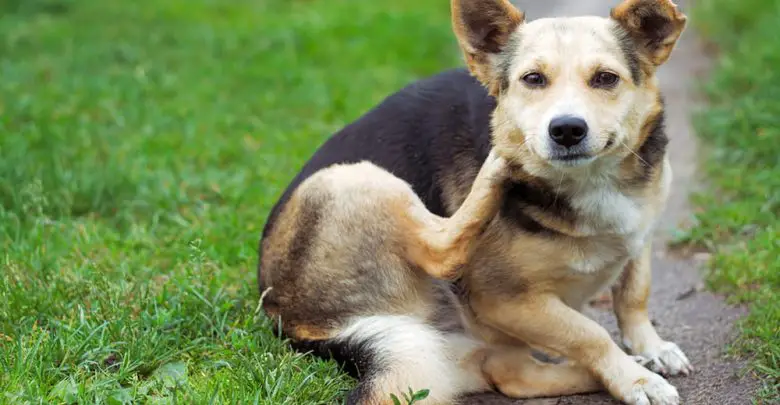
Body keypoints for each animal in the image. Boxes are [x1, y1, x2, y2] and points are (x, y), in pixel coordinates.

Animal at [260, 0, 688, 404]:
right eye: (533, 79)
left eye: (605, 78)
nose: (566, 129)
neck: (593, 180)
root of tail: (295, 324)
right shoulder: (504, 300)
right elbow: (591, 334)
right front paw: (635, 379)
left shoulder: (640, 234)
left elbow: (634, 294)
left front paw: (650, 349)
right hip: (354, 177)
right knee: (443, 252)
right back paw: (499, 165)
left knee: (510, 374)